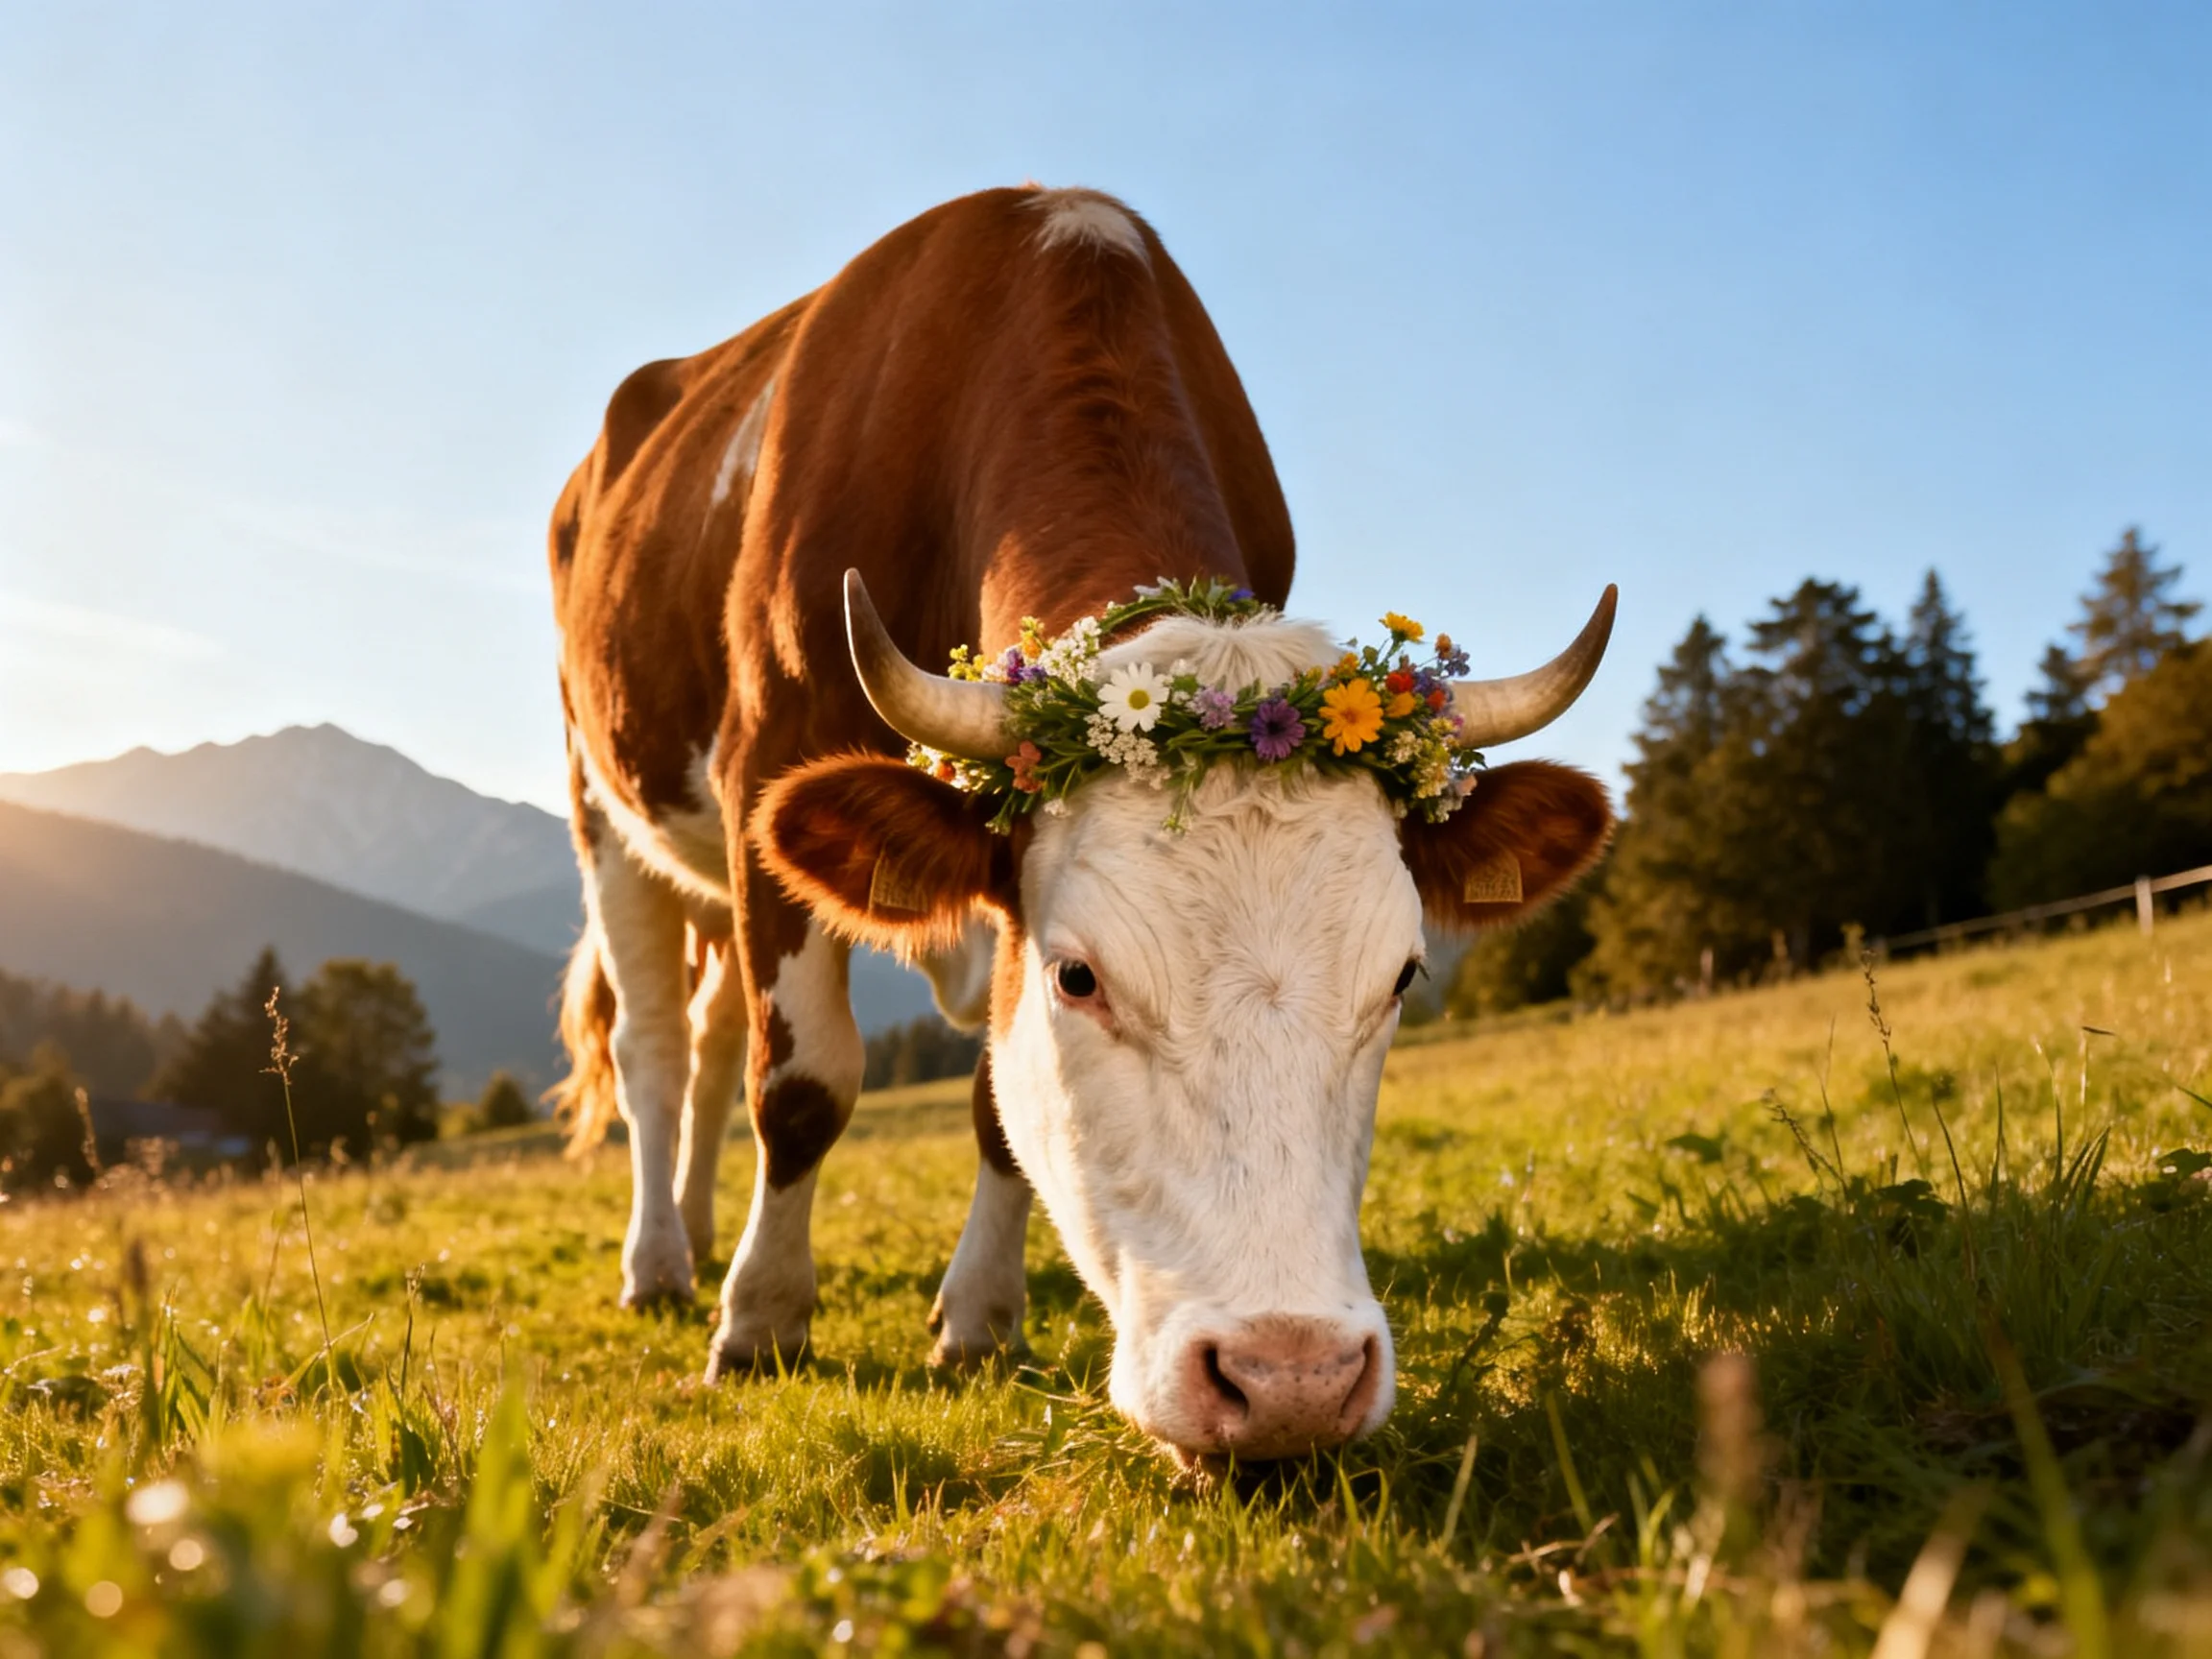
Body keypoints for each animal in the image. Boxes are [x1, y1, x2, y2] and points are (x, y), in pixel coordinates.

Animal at [548, 186, 1614, 1463]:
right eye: (1079, 978)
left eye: (1403, 976)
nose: (1290, 1380)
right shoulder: (771, 757)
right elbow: (804, 1083)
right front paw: (761, 1322)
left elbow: (993, 1110)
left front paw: (977, 1319)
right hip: (604, 800)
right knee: (657, 1048)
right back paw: (662, 1265)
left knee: (708, 1040)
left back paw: (701, 1234)